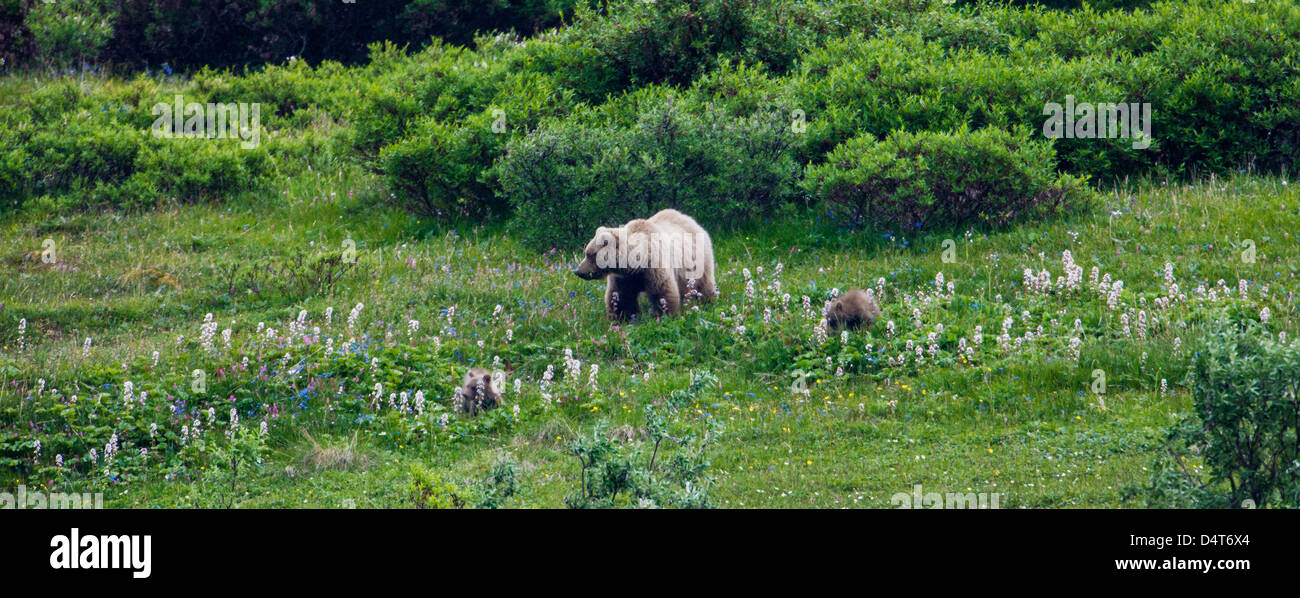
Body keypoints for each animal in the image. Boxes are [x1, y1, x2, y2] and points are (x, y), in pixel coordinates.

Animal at [574, 211, 722, 322]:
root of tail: (691, 220)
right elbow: (621, 297)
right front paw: (622, 318)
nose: (578, 271)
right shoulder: (624, 277)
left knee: (704, 283)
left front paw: (666, 315)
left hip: (698, 259)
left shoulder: (654, 268)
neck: (636, 265)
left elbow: (662, 292)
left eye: (590, 254)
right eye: (586, 252)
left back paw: (709, 301)